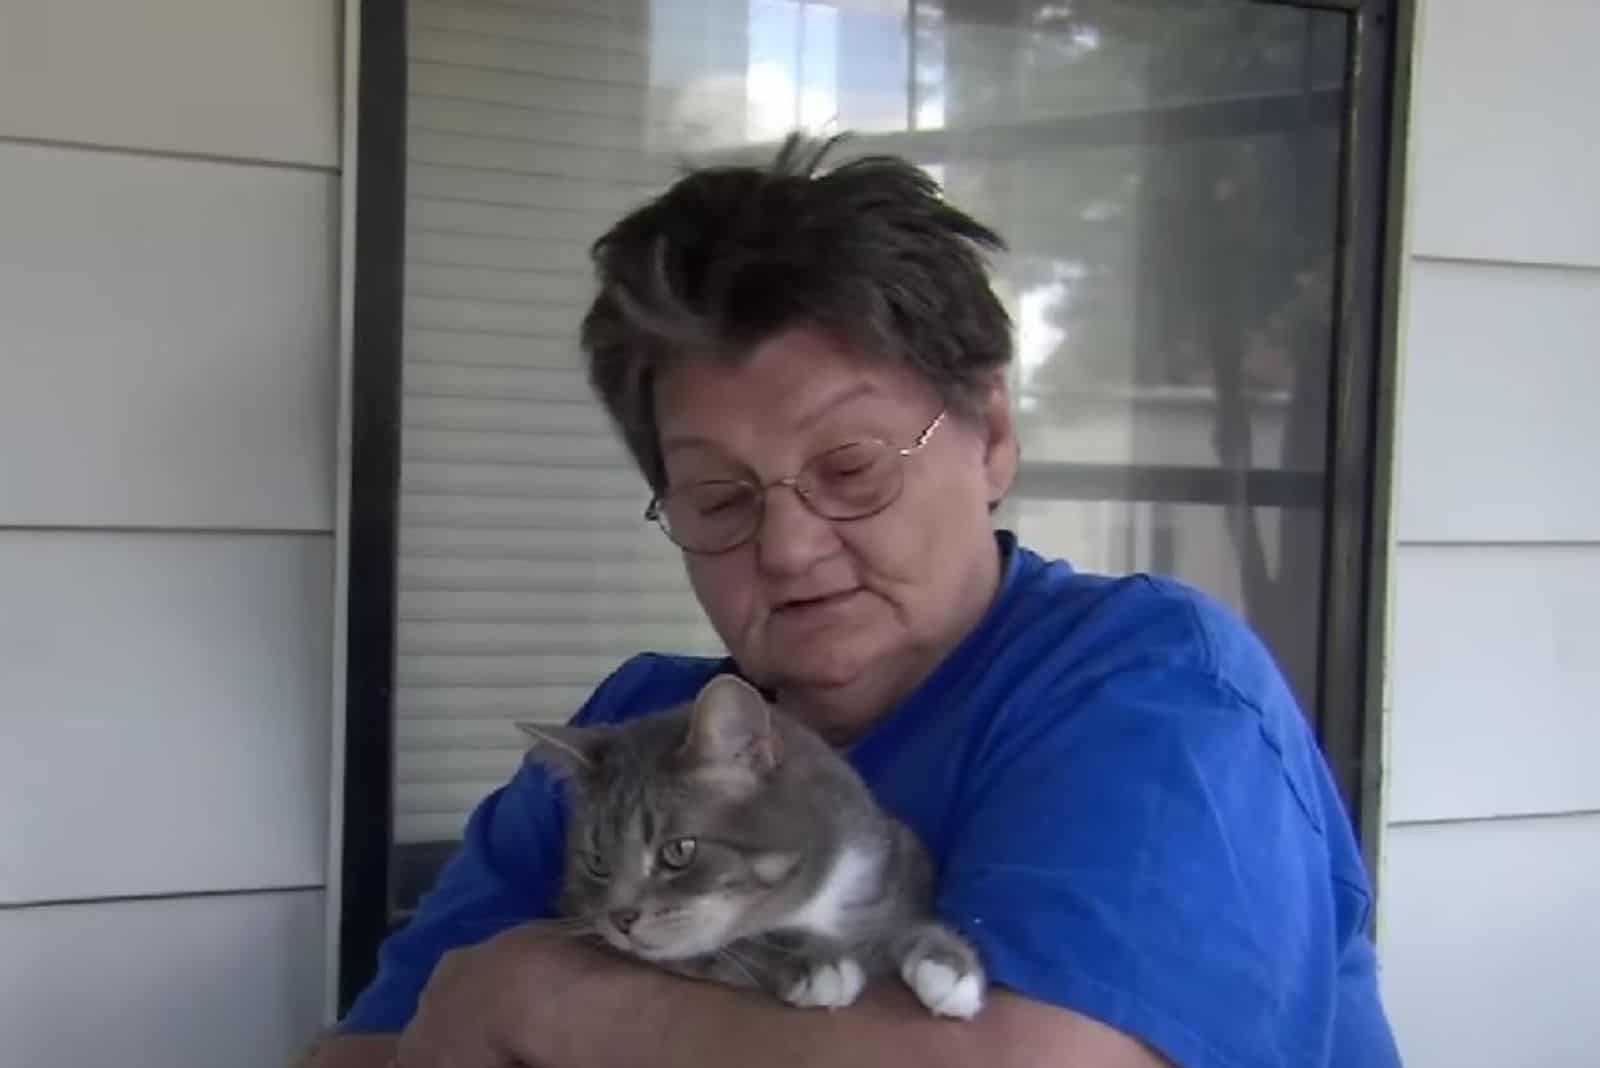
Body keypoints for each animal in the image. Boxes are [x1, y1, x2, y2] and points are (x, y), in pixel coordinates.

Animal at [518, 674, 979, 1016]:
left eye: (678, 851)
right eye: (598, 862)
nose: (621, 918)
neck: (819, 899)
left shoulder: (895, 860)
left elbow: (901, 919)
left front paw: (947, 964)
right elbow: (726, 945)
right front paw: (815, 962)